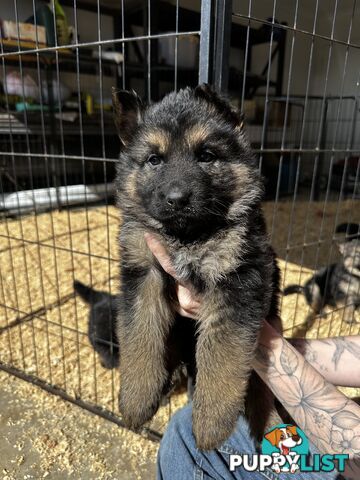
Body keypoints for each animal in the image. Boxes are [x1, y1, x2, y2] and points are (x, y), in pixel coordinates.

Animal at [112, 84, 282, 448]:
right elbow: (139, 336)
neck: (188, 236)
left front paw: (211, 423)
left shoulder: (239, 279)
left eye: (206, 155)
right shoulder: (142, 272)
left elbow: (222, 354)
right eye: (154, 159)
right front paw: (136, 400)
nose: (177, 199)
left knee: (259, 388)